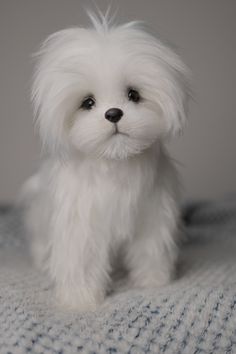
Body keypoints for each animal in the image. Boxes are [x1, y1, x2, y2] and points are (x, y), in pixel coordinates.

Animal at [21, 12, 190, 312]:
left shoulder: (152, 214)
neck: (115, 161)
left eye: (133, 94)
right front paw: (80, 298)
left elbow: (150, 248)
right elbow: (81, 260)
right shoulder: (81, 223)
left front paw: (153, 280)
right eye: (87, 102)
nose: (113, 113)